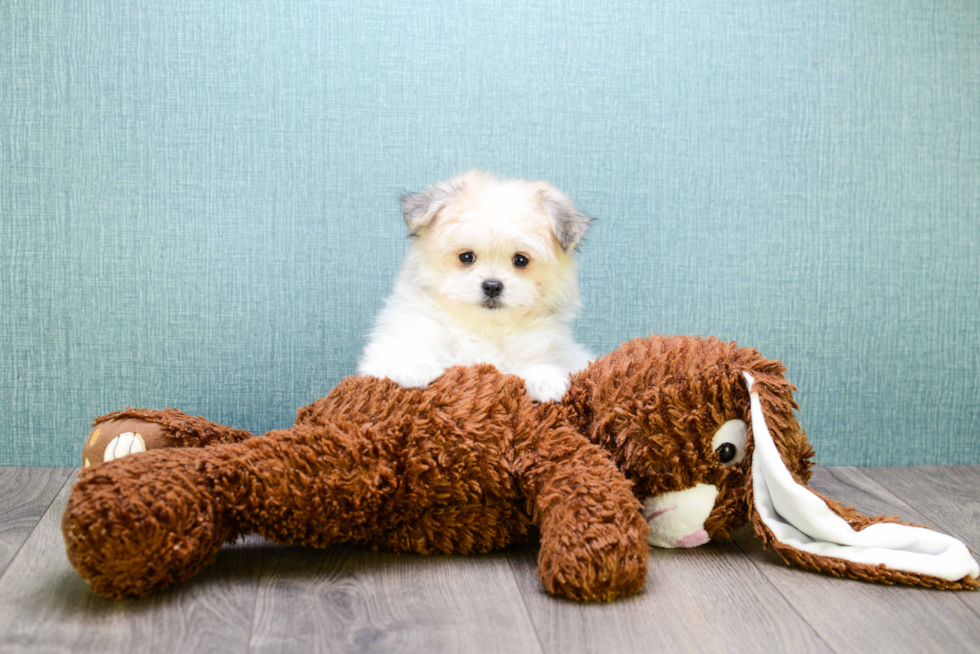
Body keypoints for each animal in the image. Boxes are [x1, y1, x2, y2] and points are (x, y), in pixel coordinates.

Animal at [358, 172, 592, 402]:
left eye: (520, 260)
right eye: (466, 257)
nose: (492, 286)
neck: (483, 328)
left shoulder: (556, 351)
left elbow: (544, 363)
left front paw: (545, 380)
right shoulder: (400, 338)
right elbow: (401, 351)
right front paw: (414, 367)